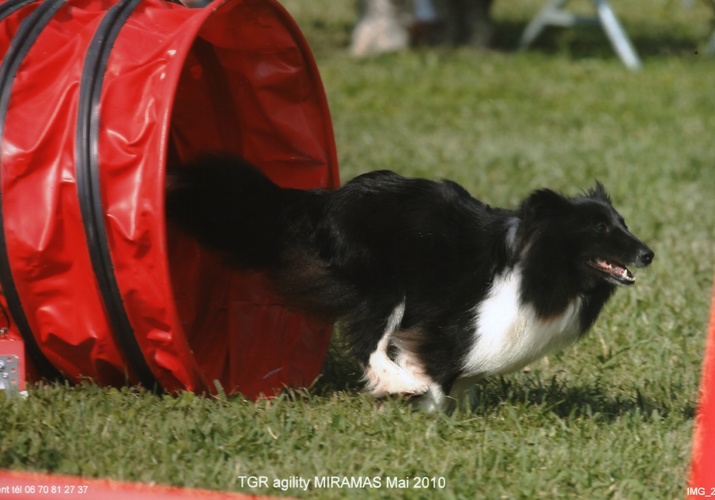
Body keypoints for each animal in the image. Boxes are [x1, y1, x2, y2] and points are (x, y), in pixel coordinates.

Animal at [166, 155, 656, 410]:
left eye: (623, 224)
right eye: (600, 229)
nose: (648, 253)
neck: (536, 265)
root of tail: (328, 201)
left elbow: (464, 377)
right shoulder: (458, 321)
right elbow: (440, 368)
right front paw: (429, 408)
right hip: (385, 287)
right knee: (368, 343)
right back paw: (402, 384)